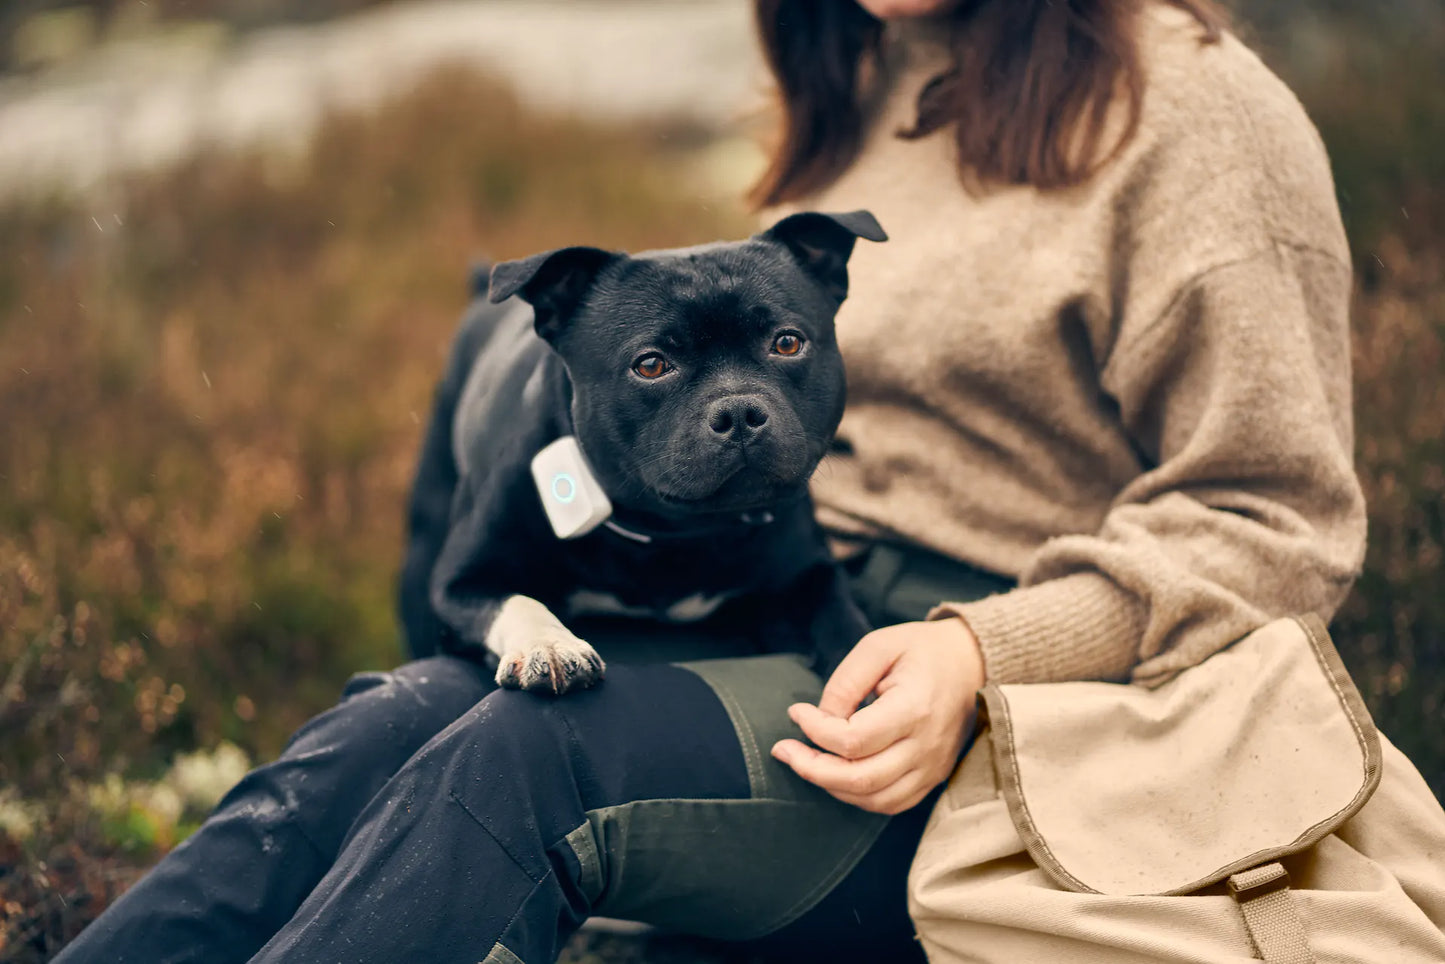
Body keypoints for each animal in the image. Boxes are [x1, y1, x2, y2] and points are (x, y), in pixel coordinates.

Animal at [401, 211, 884, 693]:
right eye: (650, 365)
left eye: (787, 343)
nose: (739, 412)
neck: (675, 532)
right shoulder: (460, 583)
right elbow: (517, 602)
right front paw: (550, 645)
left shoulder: (806, 577)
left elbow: (845, 627)